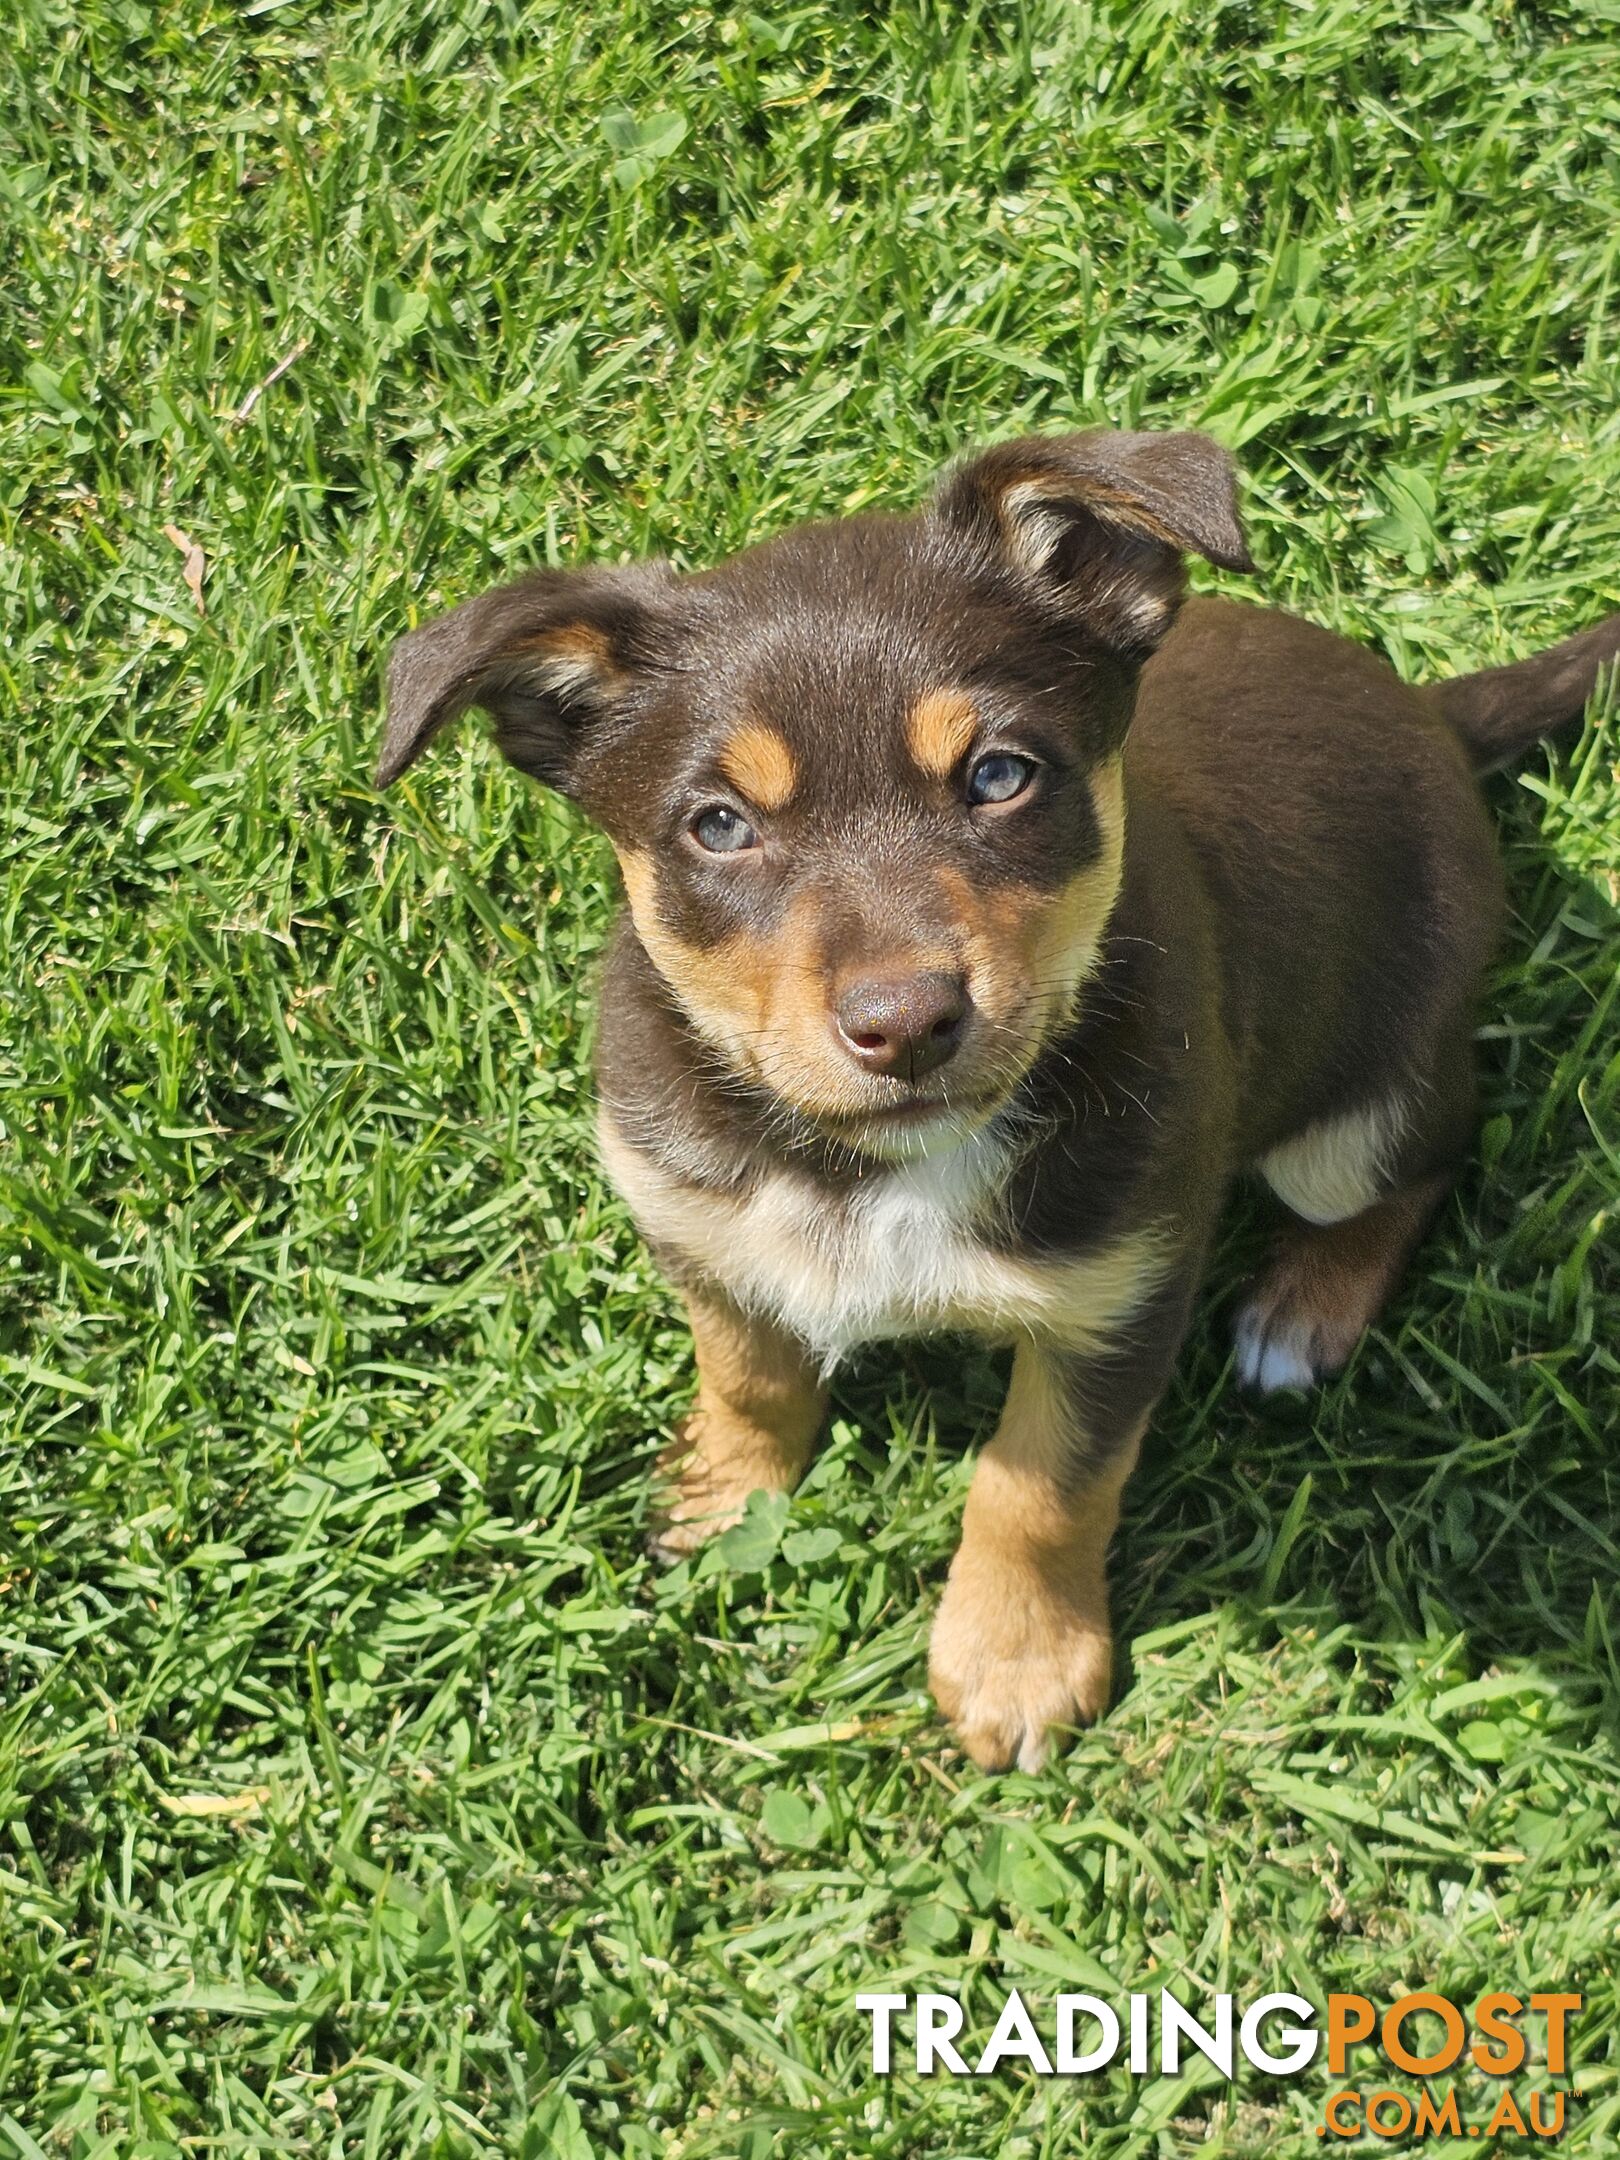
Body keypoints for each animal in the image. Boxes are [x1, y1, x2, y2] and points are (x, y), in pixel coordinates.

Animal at [371, 434, 1620, 1771]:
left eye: (1001, 776)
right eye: (718, 825)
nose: (907, 1023)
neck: (871, 1168)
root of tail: (1431, 715)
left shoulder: (1120, 1295)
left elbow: (1039, 1487)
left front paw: (1016, 1662)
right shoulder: (694, 1213)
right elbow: (748, 1371)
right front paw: (721, 1491)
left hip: (1352, 1116)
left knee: (1435, 1147)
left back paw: (1307, 1307)